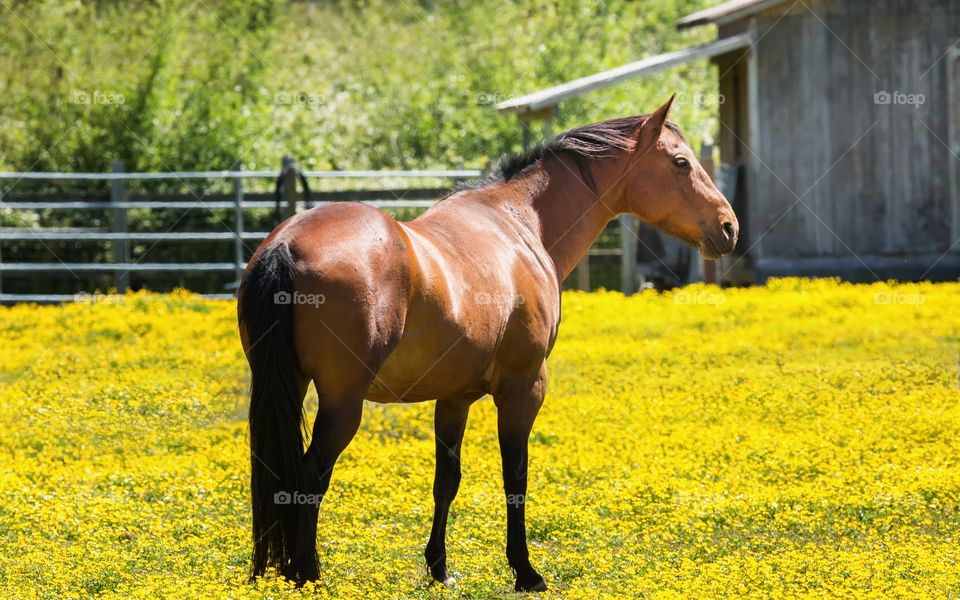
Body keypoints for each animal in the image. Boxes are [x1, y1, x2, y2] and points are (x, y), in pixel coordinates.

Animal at [237, 95, 738, 592]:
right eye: (680, 162)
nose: (729, 226)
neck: (519, 223)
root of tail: (286, 244)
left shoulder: (453, 399)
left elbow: (447, 480)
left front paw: (439, 569)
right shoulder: (524, 388)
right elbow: (515, 476)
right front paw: (525, 571)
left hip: (290, 386)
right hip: (343, 403)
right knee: (307, 477)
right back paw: (308, 576)